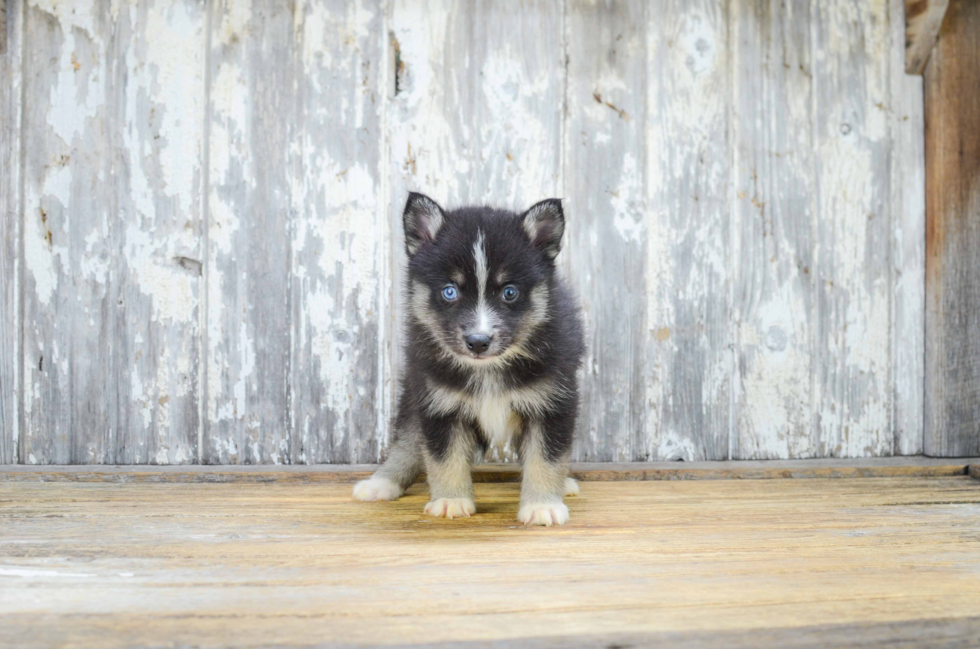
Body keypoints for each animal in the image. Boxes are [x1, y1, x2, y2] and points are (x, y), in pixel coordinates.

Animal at [352, 192, 580, 528]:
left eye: (509, 292)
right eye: (450, 291)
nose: (478, 342)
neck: (487, 369)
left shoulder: (552, 402)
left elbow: (546, 456)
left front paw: (542, 505)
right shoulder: (439, 402)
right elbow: (444, 456)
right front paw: (451, 499)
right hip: (415, 391)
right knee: (407, 440)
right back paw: (382, 482)